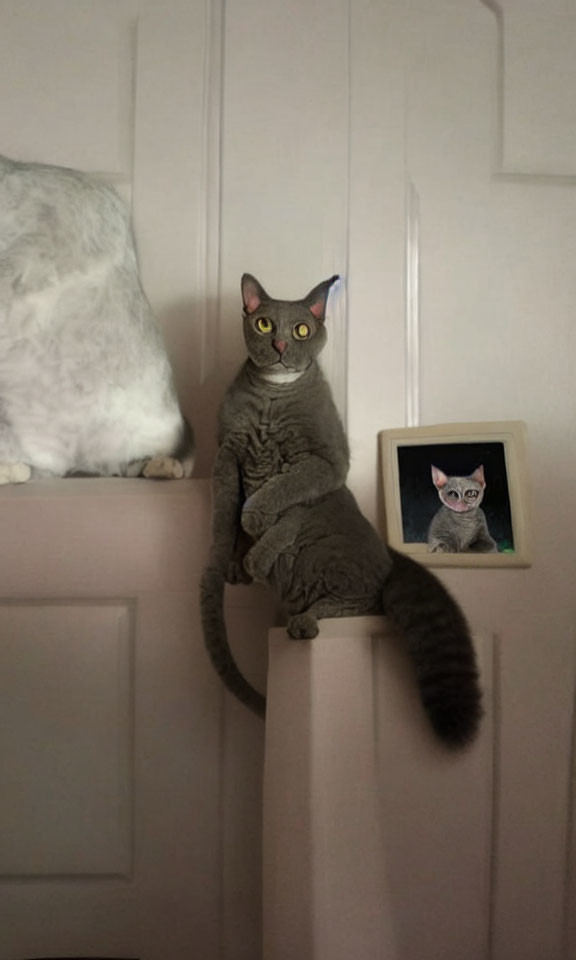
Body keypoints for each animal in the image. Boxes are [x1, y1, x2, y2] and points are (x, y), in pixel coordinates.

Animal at [200, 274, 484, 748]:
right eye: (263, 323)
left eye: (301, 329)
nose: (280, 343)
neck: (273, 398)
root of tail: (391, 558)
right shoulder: (228, 454)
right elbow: (234, 511)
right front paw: (236, 561)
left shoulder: (327, 465)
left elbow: (282, 497)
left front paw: (257, 539)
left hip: (339, 570)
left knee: (365, 603)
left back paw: (305, 622)